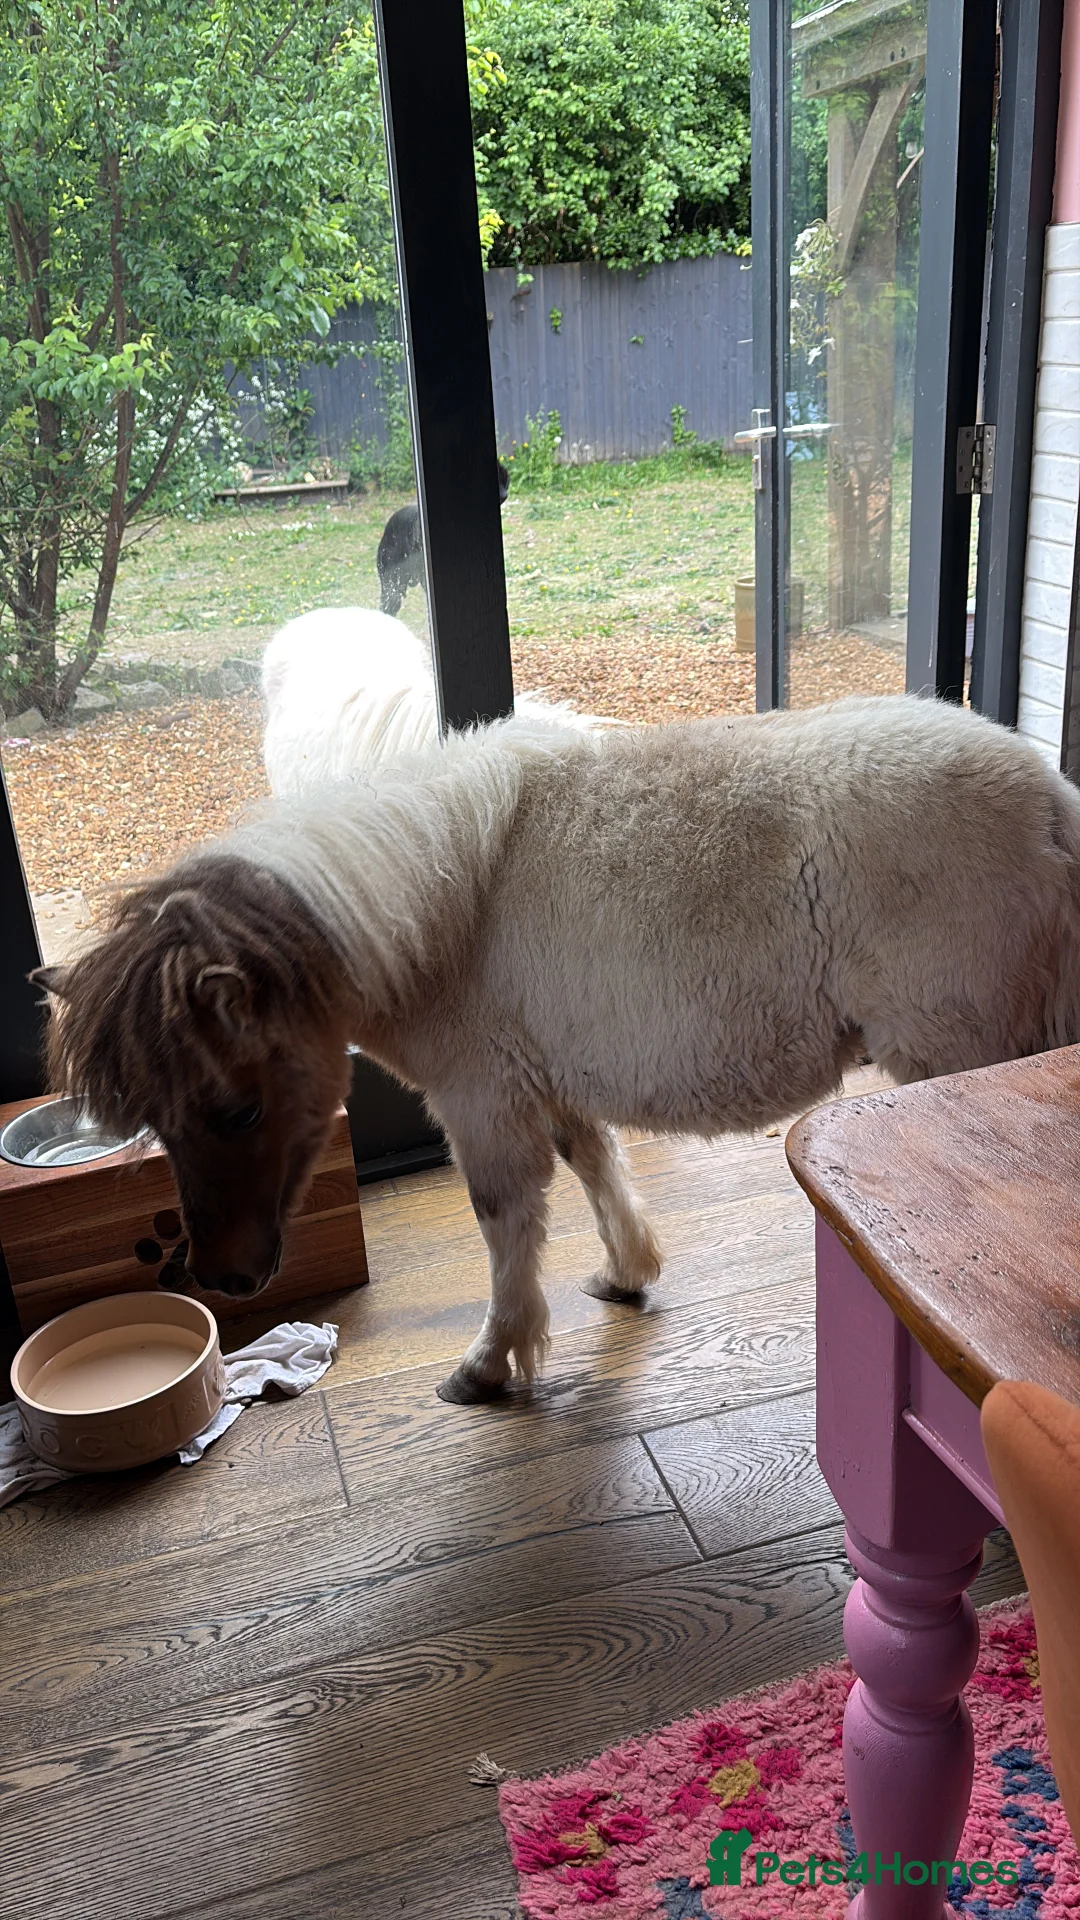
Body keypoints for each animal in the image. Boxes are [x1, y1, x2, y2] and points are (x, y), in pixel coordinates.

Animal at [34, 694, 1080, 1406]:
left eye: (238, 1109)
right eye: (156, 1122)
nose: (224, 1276)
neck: (444, 903)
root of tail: (1048, 798)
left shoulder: (482, 1101)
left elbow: (506, 1222)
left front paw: (492, 1363)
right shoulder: (550, 1081)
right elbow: (593, 1163)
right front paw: (626, 1273)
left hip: (949, 1056)